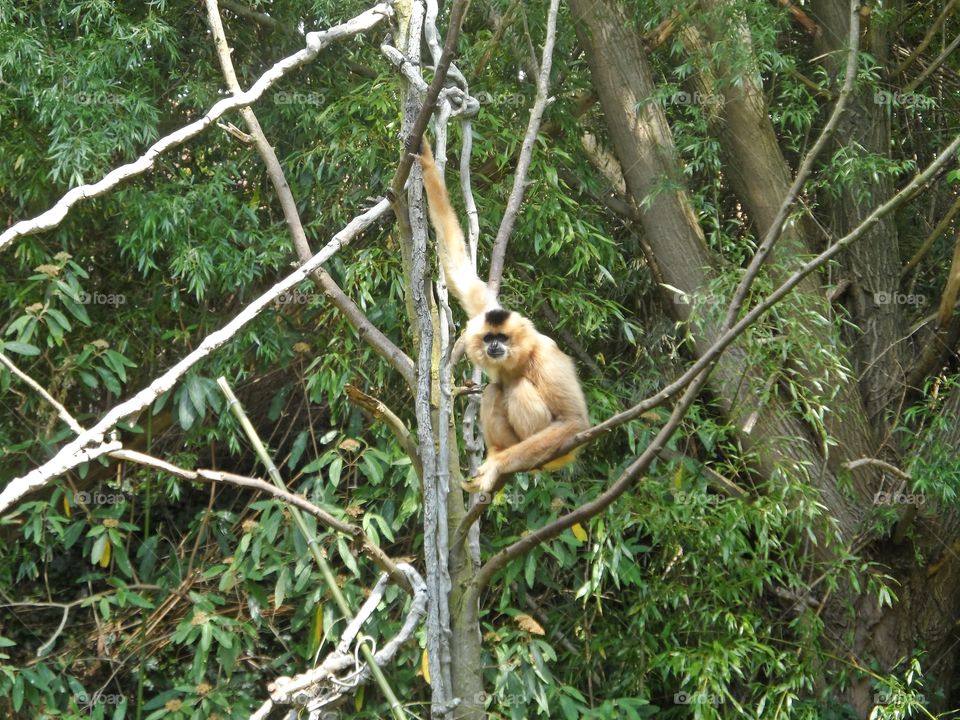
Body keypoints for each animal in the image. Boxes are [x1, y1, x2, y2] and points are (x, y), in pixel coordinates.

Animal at [417, 139, 590, 494]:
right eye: (489, 337)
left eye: (503, 338)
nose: (494, 347)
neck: (521, 357)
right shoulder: (485, 312)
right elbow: (459, 271)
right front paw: (426, 162)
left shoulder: (546, 357)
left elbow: (573, 420)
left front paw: (496, 467)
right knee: (494, 391)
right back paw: (498, 449)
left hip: (555, 451)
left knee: (517, 389)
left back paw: (508, 460)